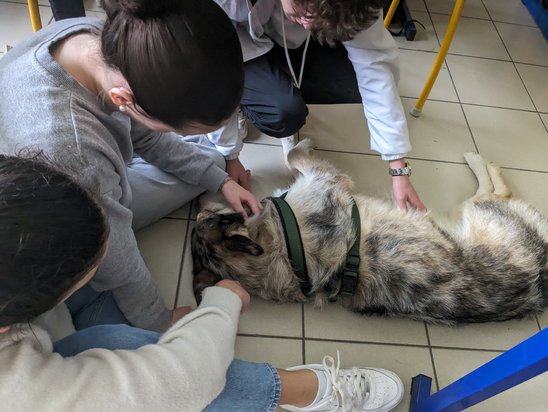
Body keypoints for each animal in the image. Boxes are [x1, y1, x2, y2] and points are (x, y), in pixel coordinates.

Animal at [191, 139, 544, 326]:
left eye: (205, 216)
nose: (202, 197)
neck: (279, 248)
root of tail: (541, 279)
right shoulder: (329, 180)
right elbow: (294, 155)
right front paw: (298, 141)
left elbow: (292, 156)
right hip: (477, 210)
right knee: (497, 189)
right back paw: (478, 159)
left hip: (470, 212)